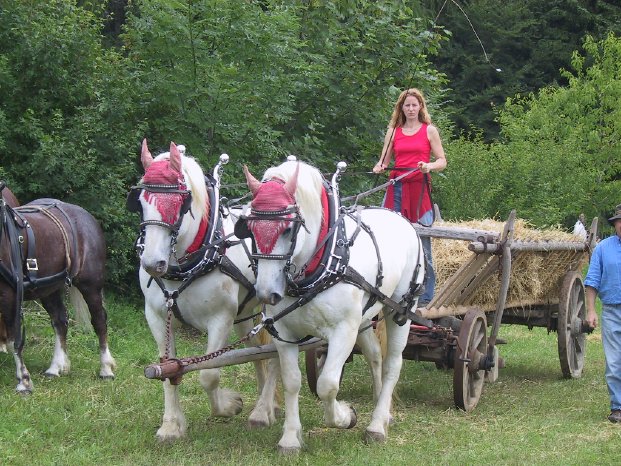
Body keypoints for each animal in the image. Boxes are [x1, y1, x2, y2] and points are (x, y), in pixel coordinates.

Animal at [0, 186, 115, 394]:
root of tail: (84, 215)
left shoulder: (9, 296)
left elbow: (14, 340)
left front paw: (24, 381)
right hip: (48, 288)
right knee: (60, 320)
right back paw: (55, 368)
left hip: (91, 285)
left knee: (100, 321)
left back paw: (106, 369)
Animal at [133, 141, 278, 440]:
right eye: (140, 201)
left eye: (180, 203)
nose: (153, 263)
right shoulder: (156, 317)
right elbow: (166, 369)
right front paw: (171, 425)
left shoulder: (220, 319)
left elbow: (208, 374)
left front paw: (228, 405)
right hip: (245, 316)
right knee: (258, 352)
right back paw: (265, 403)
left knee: (275, 356)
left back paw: (262, 411)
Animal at [240, 160, 424, 452]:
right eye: (250, 229)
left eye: (288, 229)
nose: (267, 293)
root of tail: (401, 219)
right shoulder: (285, 333)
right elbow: (291, 381)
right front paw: (290, 438)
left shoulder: (343, 332)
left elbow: (327, 384)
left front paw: (346, 416)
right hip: (365, 317)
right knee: (375, 354)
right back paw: (381, 408)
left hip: (400, 310)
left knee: (393, 363)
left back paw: (377, 424)